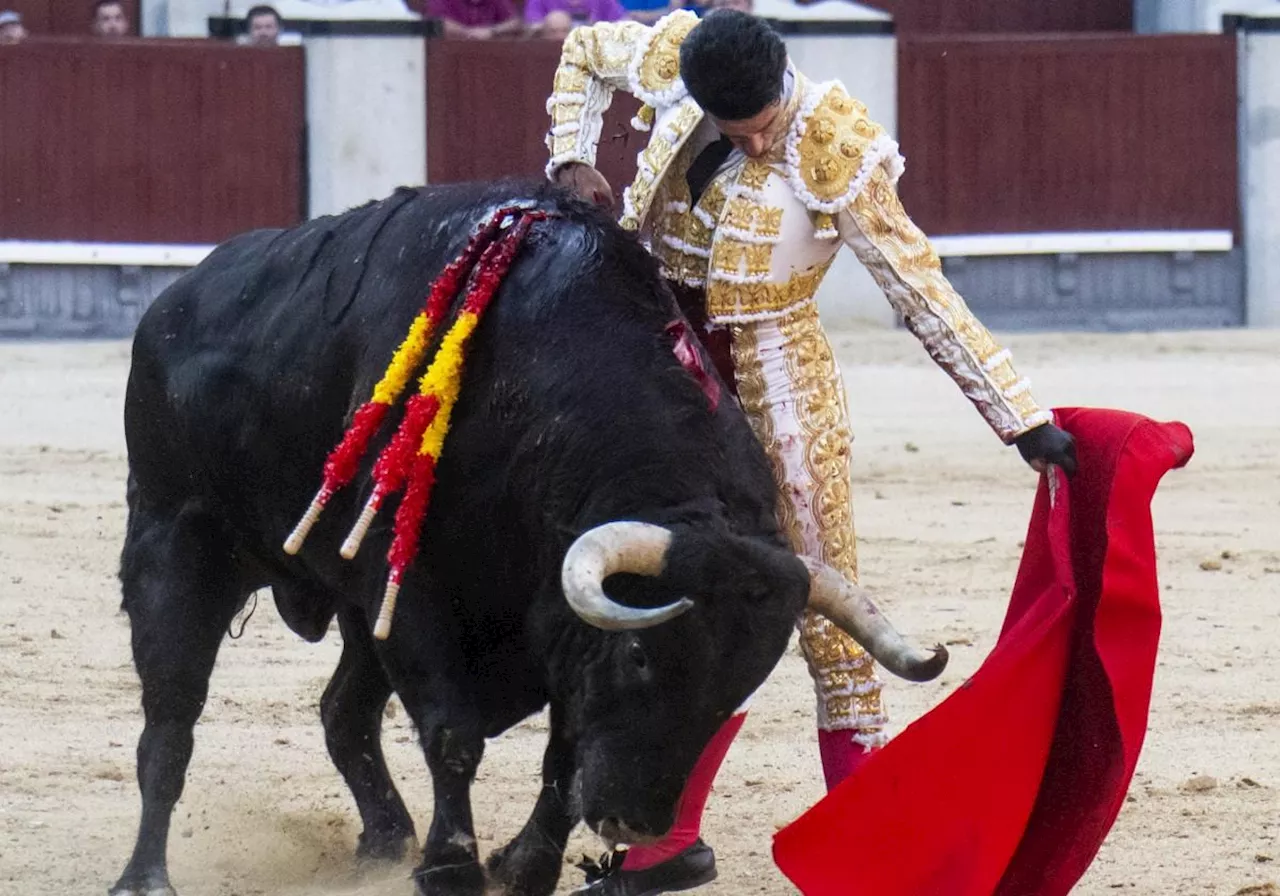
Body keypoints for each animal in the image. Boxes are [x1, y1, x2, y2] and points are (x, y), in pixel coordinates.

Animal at [110, 180, 947, 896]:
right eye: (642, 656)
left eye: (738, 687)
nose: (636, 822)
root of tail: (170, 305)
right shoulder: (409, 587)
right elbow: (454, 734)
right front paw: (452, 868)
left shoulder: (543, 626)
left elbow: (566, 752)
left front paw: (523, 866)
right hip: (175, 544)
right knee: (171, 720)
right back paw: (145, 874)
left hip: (346, 608)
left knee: (343, 713)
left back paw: (384, 839)